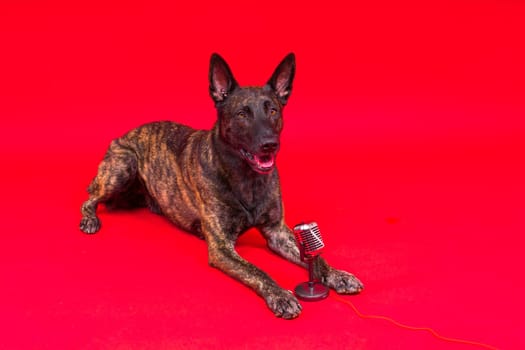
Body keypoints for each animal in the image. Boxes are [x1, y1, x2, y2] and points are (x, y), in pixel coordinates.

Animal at [80, 53, 362, 318]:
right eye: (242, 114)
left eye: (273, 110)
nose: (270, 144)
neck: (247, 178)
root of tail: (125, 134)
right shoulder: (221, 247)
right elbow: (256, 270)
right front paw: (280, 295)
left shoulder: (278, 232)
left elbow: (317, 258)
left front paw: (338, 275)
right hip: (123, 166)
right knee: (90, 199)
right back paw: (90, 219)